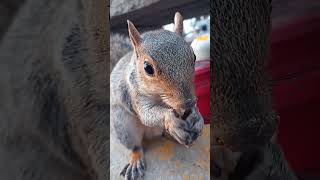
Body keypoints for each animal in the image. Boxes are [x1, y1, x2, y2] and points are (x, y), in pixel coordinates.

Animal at [110, 11, 205, 179]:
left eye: (194, 56)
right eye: (147, 68)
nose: (187, 103)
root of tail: (150, 134)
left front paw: (197, 116)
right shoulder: (135, 96)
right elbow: (147, 115)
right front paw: (170, 120)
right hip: (122, 123)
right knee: (135, 146)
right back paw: (136, 160)